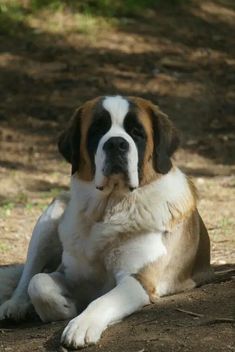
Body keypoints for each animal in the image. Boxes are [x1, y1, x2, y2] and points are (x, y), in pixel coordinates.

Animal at [0, 95, 214, 350]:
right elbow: (38, 282)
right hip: (51, 216)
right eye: (97, 130)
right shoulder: (70, 273)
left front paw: (81, 325)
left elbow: (103, 300)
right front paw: (65, 307)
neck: (110, 207)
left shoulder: (138, 279)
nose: (116, 144)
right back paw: (16, 304)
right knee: (29, 272)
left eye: (136, 132)